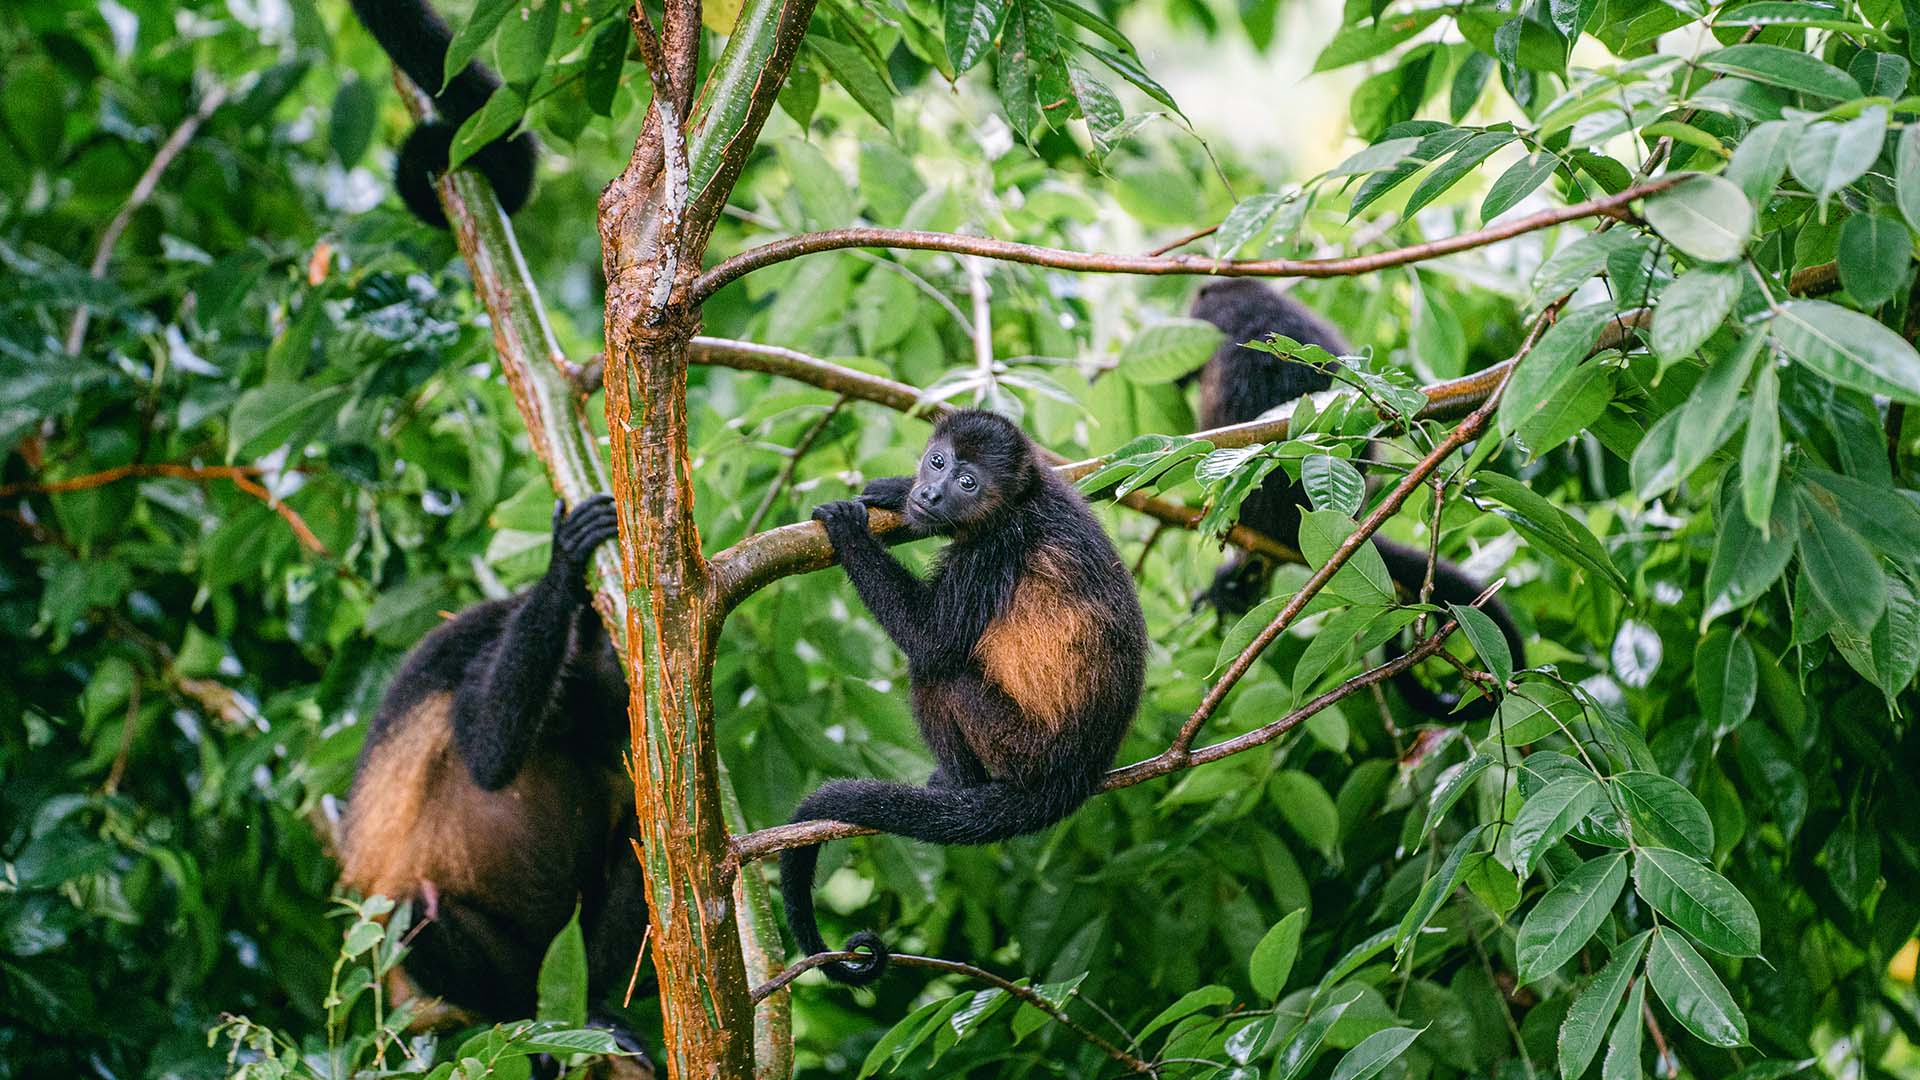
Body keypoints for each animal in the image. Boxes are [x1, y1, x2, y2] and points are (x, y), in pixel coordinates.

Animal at [337, 496, 649, 1076]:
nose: (579, 698)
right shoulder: (481, 652)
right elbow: (488, 752)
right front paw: (563, 565)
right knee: (416, 911)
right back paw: (525, 1011)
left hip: (568, 951)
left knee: (647, 840)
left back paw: (593, 1005)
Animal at [782, 410, 1149, 985]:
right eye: (938, 461)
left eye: (968, 482)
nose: (931, 493)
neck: (1018, 502)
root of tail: (1077, 773)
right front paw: (894, 491)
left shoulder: (993, 552)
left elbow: (930, 638)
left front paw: (847, 531)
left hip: (1016, 745)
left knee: (939, 673)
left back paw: (959, 785)